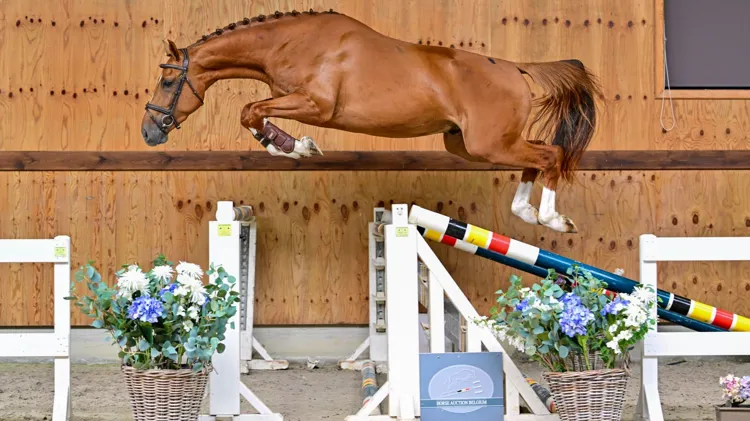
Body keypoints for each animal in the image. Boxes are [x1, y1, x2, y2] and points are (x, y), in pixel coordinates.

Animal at [141, 9, 601, 233]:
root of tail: (516, 69)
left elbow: (249, 111)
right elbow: (253, 112)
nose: (148, 132)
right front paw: (293, 147)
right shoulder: (292, 100)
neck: (291, 42)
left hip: (490, 143)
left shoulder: (317, 105)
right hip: (469, 145)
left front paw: (296, 147)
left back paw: (552, 220)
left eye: (168, 80)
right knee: (539, 157)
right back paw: (527, 212)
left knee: (551, 154)